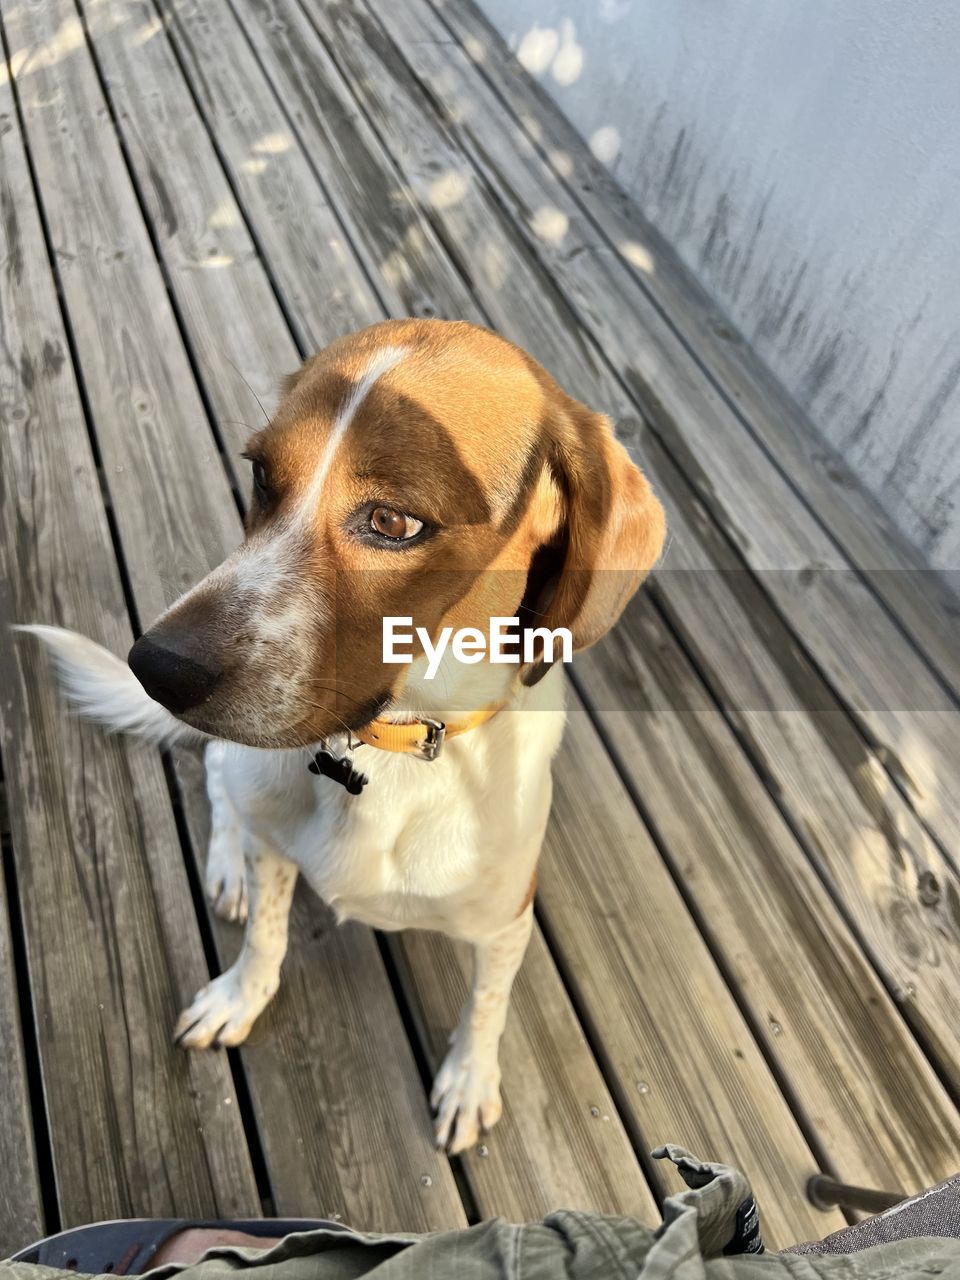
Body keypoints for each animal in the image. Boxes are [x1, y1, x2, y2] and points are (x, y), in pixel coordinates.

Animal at [26, 317, 665, 1152]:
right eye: (262, 474)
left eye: (394, 523)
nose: (156, 668)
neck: (390, 754)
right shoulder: (275, 844)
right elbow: (266, 937)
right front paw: (240, 994)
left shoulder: (507, 921)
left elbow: (485, 1007)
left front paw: (469, 1079)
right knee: (219, 784)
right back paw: (227, 866)